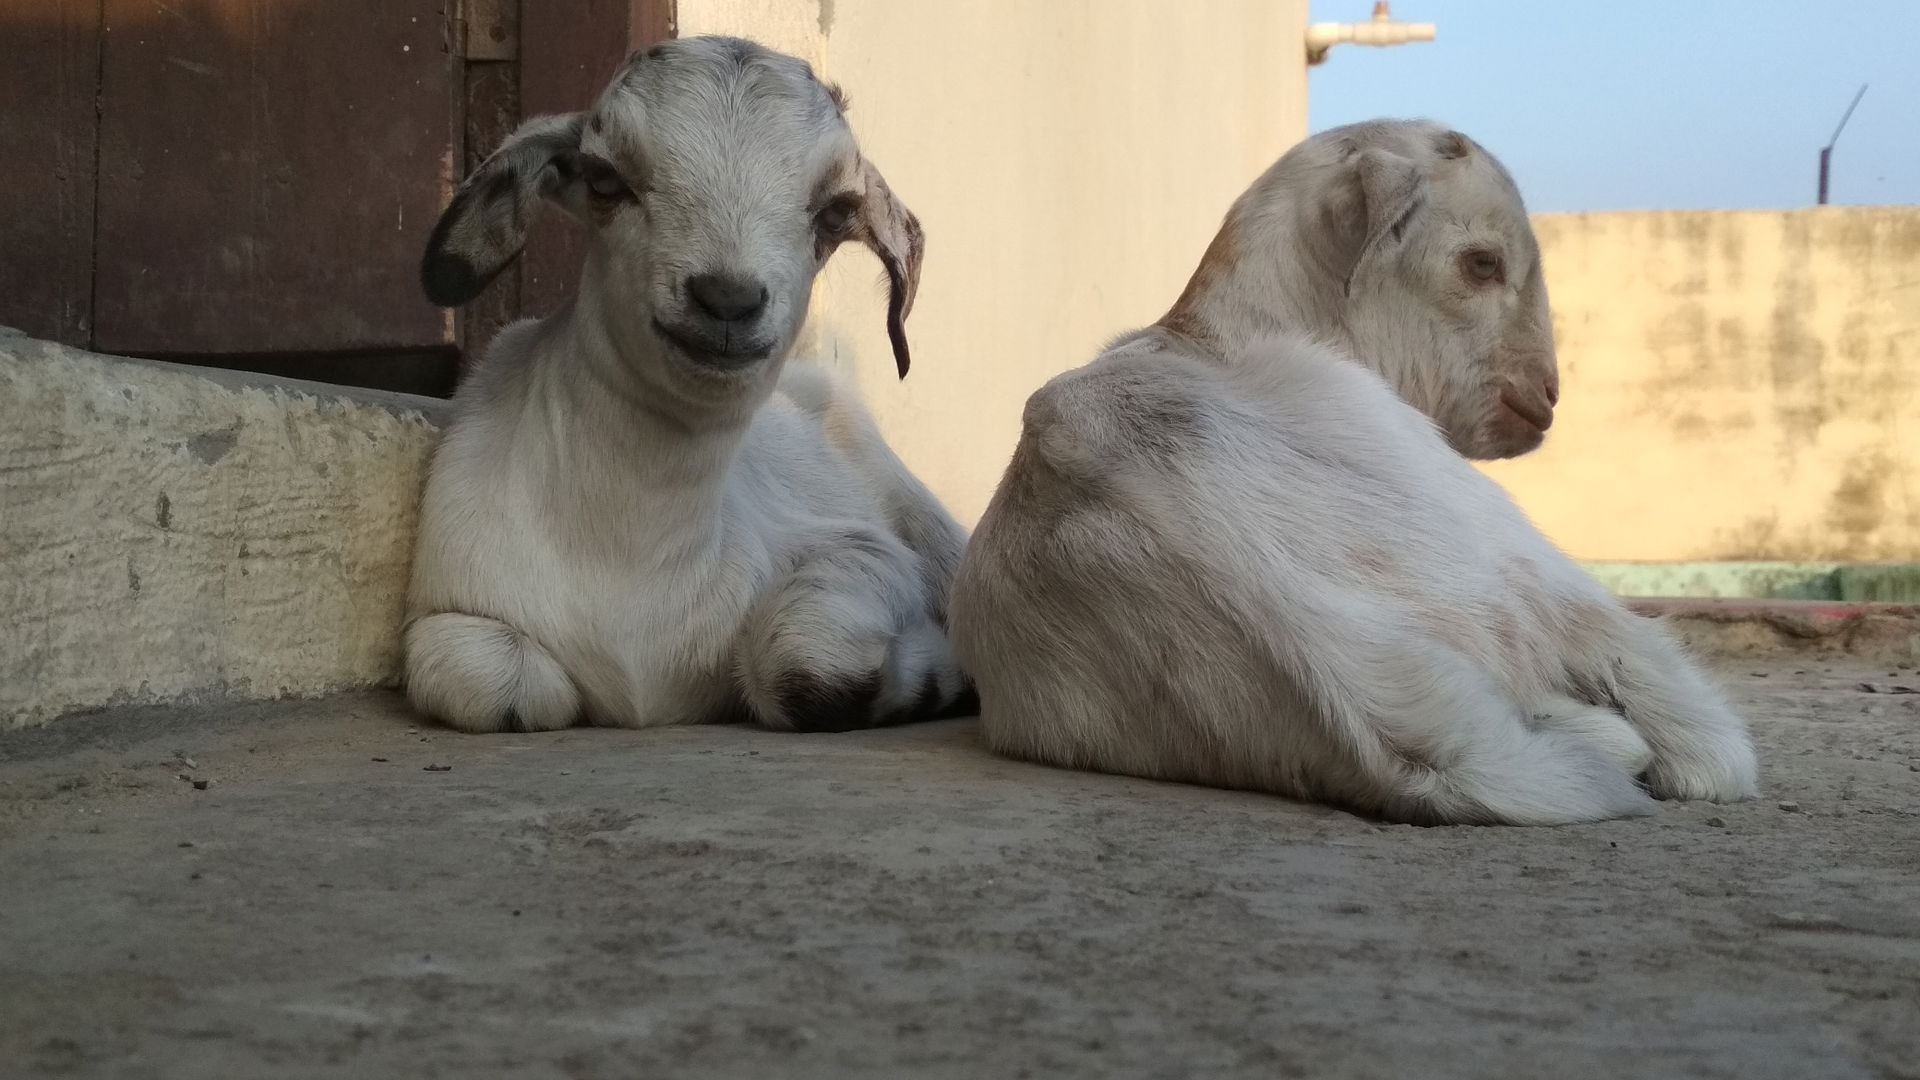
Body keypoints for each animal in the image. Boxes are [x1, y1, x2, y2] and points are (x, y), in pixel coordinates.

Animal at [404, 36, 972, 735]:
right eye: (604, 178)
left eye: (838, 210)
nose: (727, 300)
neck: (637, 563)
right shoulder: (449, 602)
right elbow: (492, 683)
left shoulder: (869, 553)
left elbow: (806, 662)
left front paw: (938, 673)